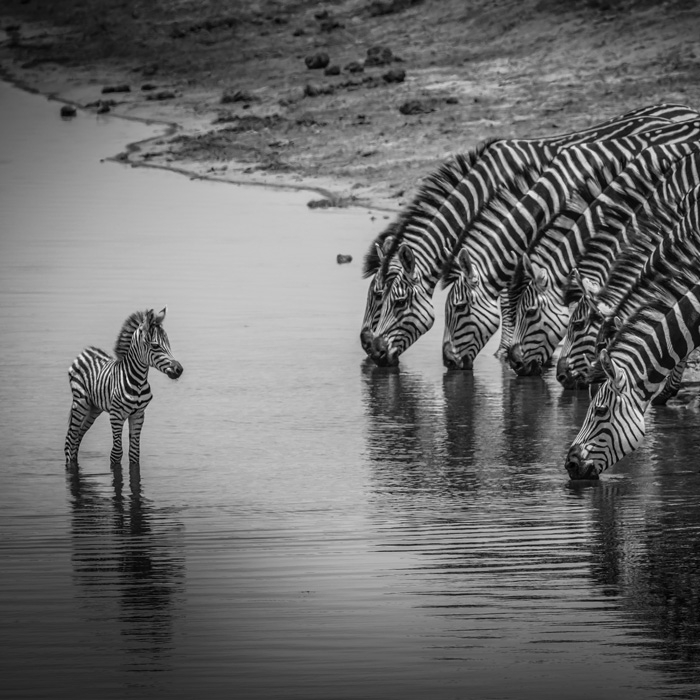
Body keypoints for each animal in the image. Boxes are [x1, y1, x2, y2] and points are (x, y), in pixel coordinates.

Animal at [64, 308, 183, 468]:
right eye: (155, 346)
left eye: (169, 344)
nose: (179, 370)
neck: (138, 381)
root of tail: (85, 351)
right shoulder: (116, 415)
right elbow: (116, 453)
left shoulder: (138, 414)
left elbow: (134, 453)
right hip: (80, 403)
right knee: (70, 439)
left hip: (94, 407)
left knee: (78, 436)